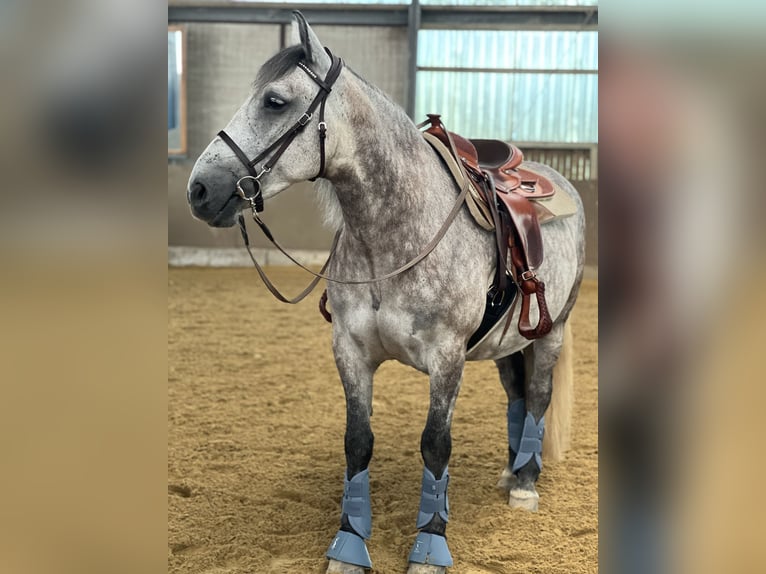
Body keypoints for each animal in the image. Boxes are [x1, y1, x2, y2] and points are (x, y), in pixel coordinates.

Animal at [187, 12, 585, 574]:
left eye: (275, 101)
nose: (199, 190)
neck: (395, 235)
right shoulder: (351, 351)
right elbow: (357, 443)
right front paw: (349, 545)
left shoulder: (447, 359)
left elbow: (436, 446)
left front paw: (430, 546)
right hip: (511, 339)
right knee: (517, 394)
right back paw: (512, 471)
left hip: (552, 330)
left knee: (541, 395)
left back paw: (526, 484)